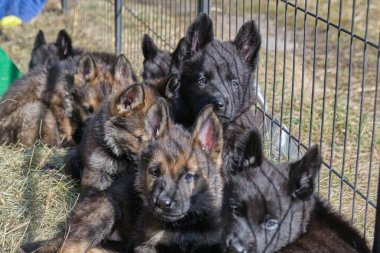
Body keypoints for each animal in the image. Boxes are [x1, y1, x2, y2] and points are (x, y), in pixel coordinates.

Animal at [21, 105, 223, 253]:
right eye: (155, 172)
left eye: (189, 175)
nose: (161, 203)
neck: (185, 224)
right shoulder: (146, 246)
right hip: (105, 214)